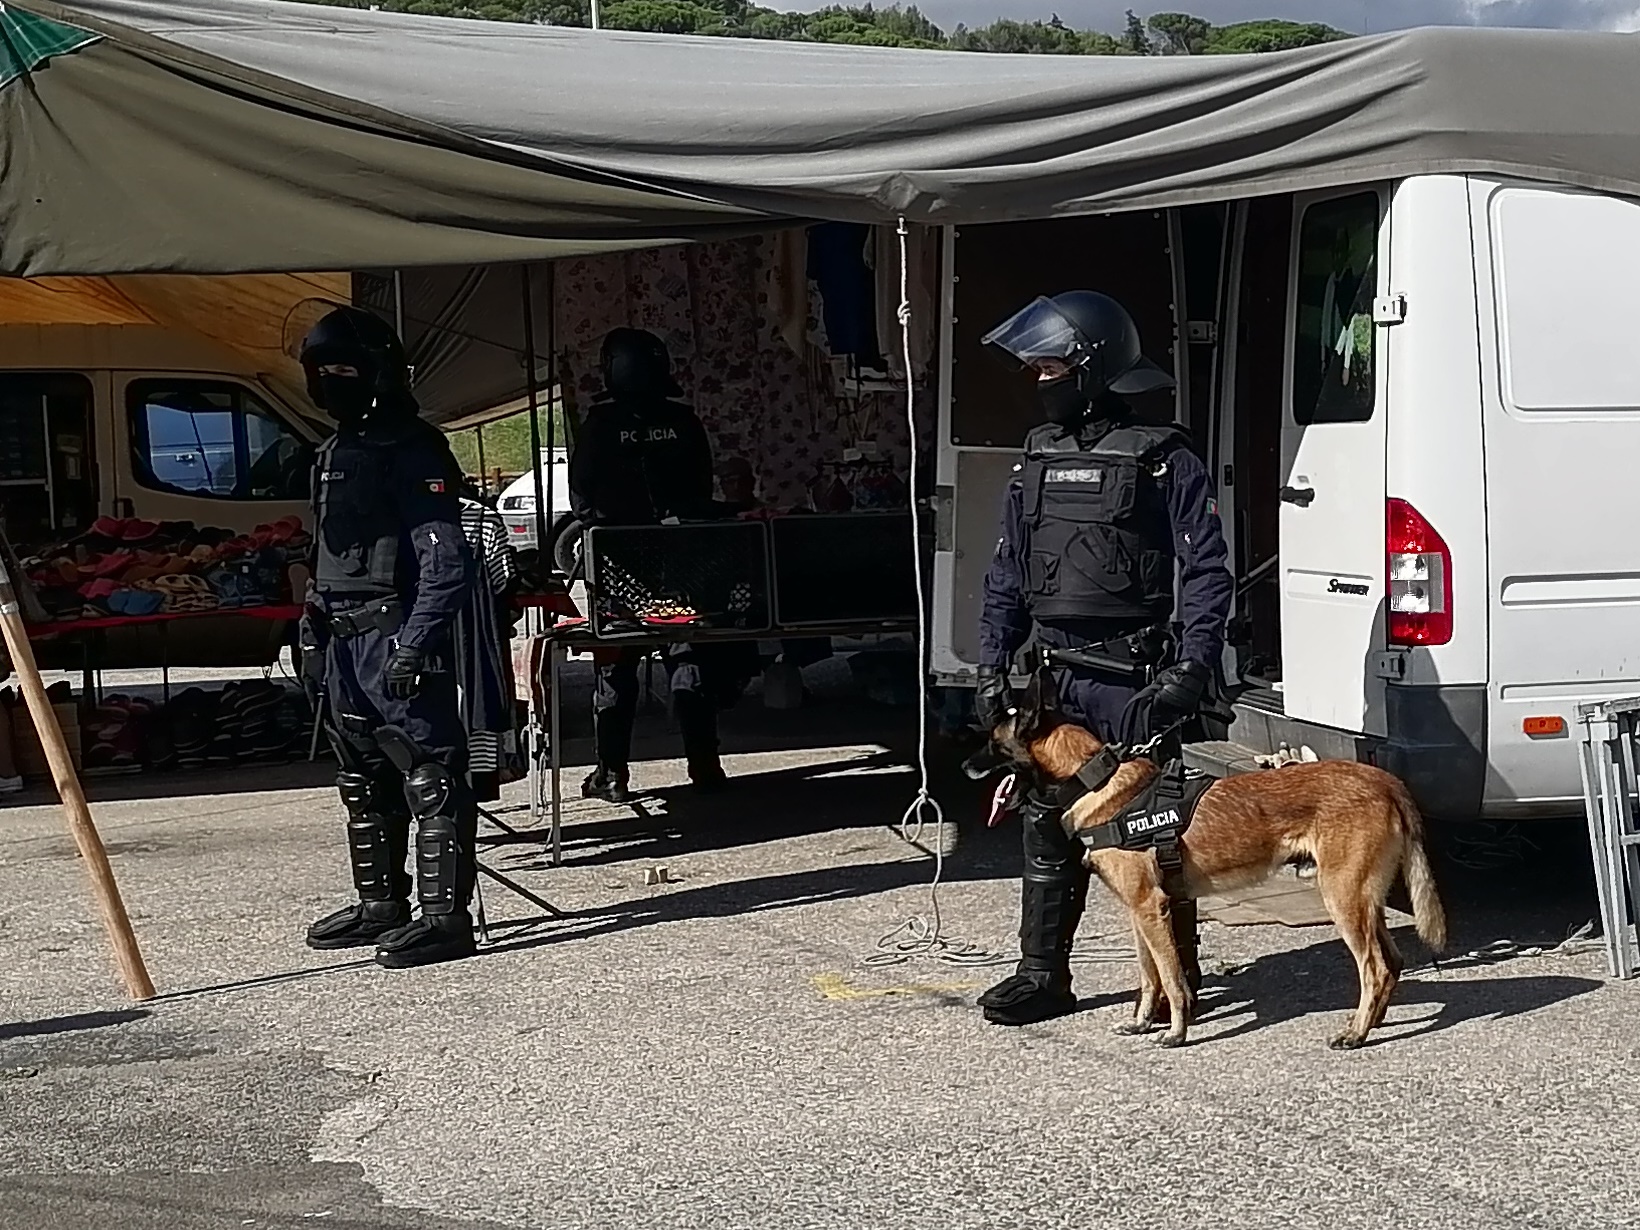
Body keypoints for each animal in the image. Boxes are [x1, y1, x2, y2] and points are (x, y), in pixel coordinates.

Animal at [957, 669, 1449, 1056]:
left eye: (993, 743)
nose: (963, 767)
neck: (1095, 781)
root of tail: (1385, 781)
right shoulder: (1140, 913)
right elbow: (1149, 975)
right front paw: (1142, 1021)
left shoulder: (1151, 908)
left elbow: (1173, 978)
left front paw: (1176, 1033)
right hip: (1361, 899)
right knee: (1392, 962)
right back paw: (1370, 1022)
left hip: (1343, 898)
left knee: (1376, 968)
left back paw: (1356, 1033)